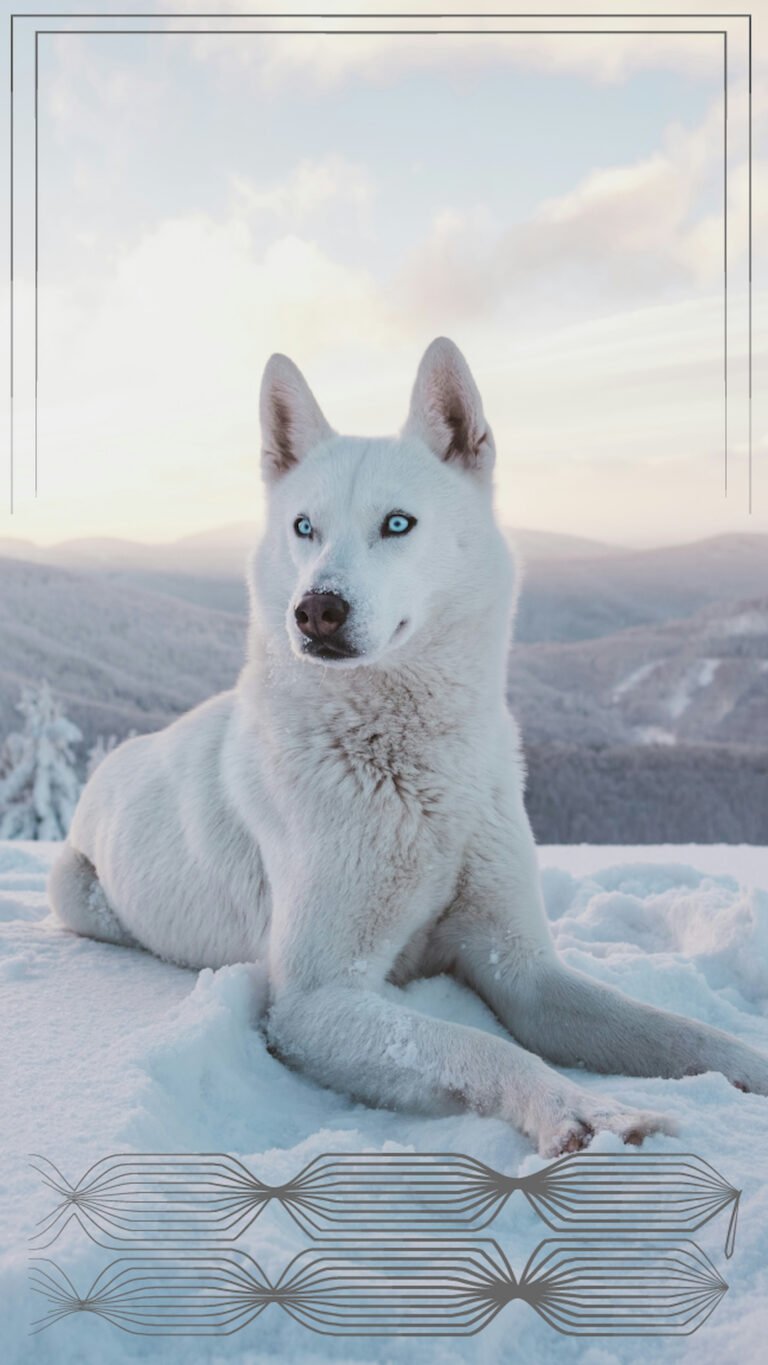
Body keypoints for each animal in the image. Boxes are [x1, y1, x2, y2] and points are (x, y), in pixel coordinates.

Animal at [50, 338, 768, 1156]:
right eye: (304, 526)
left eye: (398, 523)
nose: (315, 610)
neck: (414, 769)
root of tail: (118, 756)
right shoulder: (316, 1000)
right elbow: (481, 1046)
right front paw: (584, 1111)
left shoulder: (524, 970)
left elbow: (678, 1032)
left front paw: (745, 1065)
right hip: (77, 892)